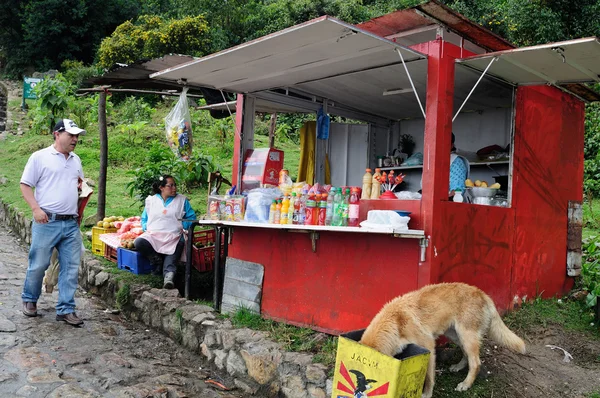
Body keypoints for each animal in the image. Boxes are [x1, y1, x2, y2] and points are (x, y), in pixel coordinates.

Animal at [360, 282, 524, 396]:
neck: (395, 323)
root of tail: (482, 293)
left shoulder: (428, 347)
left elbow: (429, 377)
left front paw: (427, 394)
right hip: (456, 336)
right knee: (468, 356)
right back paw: (458, 367)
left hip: (466, 337)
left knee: (476, 363)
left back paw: (465, 384)